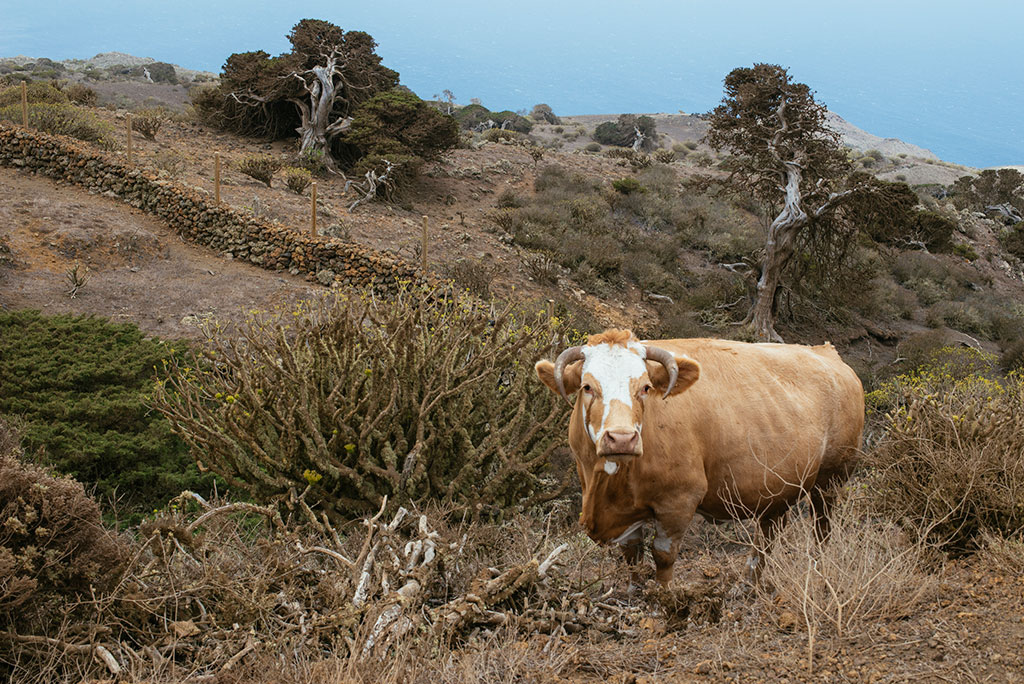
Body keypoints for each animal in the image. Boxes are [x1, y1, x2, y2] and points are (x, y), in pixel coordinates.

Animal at [536, 327, 864, 585]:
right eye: (587, 386)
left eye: (645, 387)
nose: (622, 438)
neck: (608, 487)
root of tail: (827, 353)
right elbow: (631, 553)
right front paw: (632, 592)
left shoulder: (679, 499)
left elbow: (663, 555)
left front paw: (662, 602)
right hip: (777, 484)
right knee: (767, 534)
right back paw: (749, 584)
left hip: (832, 478)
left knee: (822, 528)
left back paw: (818, 571)